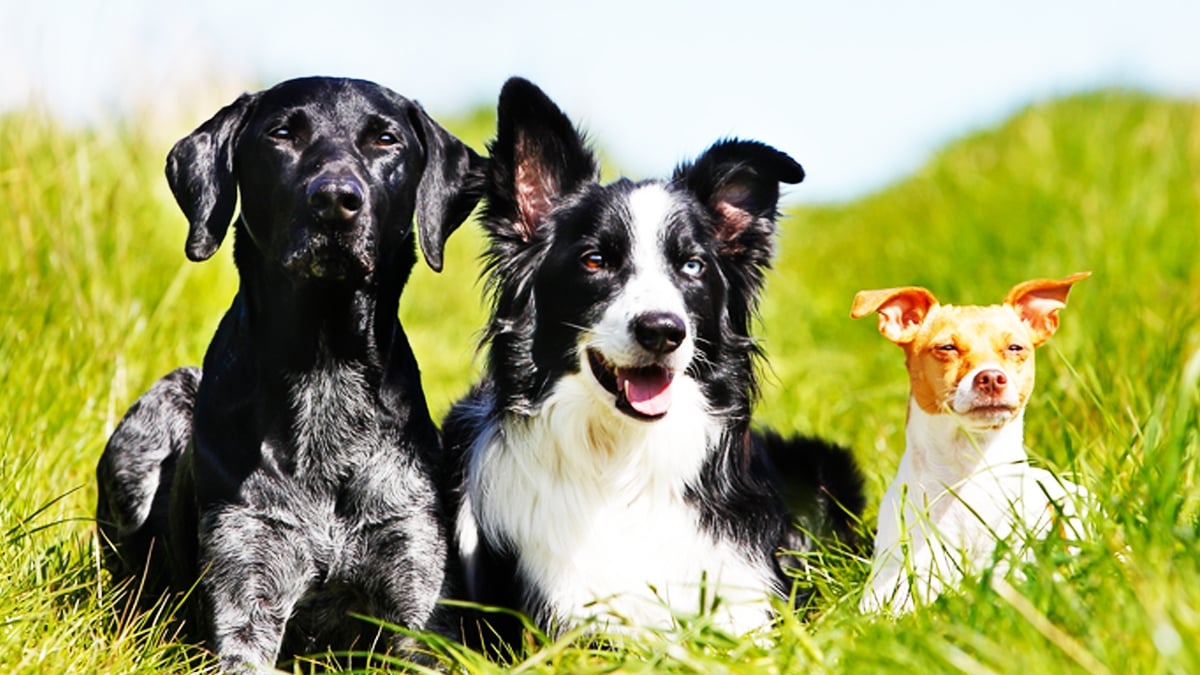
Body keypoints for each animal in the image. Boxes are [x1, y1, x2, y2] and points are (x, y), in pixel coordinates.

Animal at [94, 76, 487, 662]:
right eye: (282, 134)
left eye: (385, 138)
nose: (335, 200)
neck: (326, 368)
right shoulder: (246, 591)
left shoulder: (420, 599)